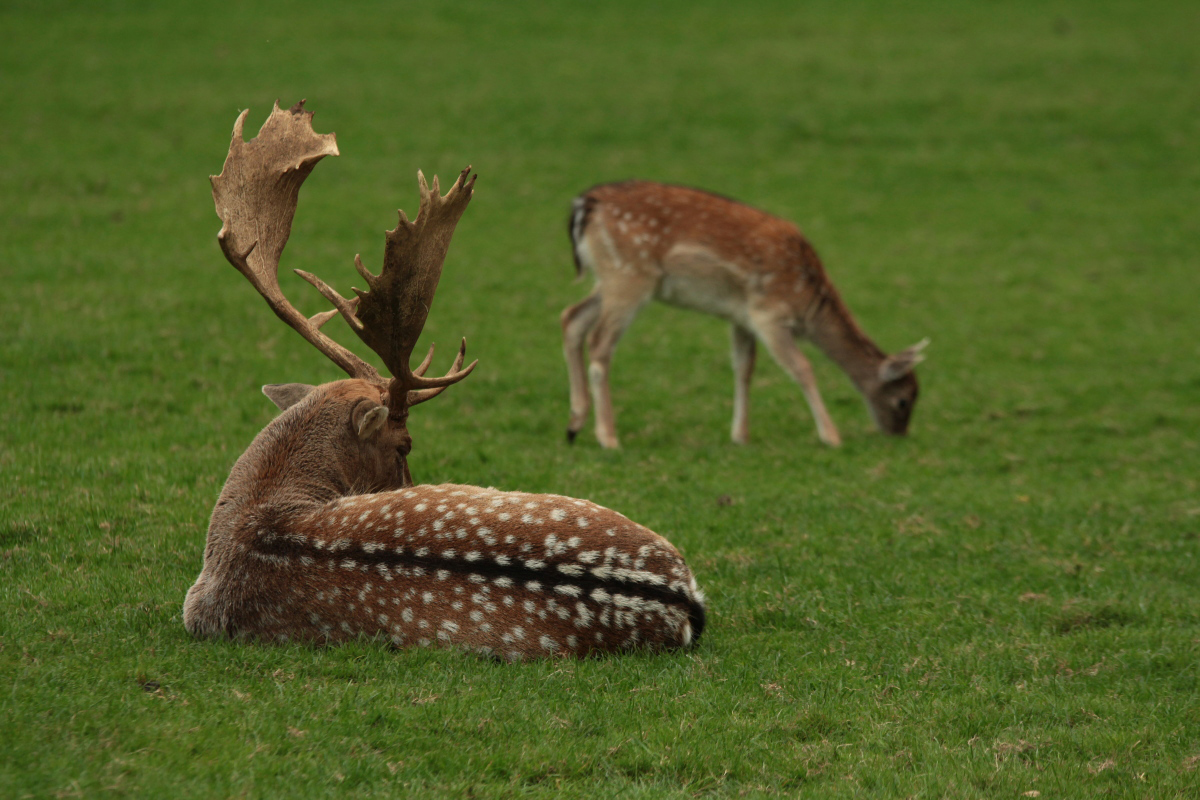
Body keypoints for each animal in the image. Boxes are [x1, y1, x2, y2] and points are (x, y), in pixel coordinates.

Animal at [561, 178, 926, 450]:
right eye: (903, 400)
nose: (898, 434)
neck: (808, 302)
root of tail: (585, 205)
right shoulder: (769, 314)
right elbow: (802, 368)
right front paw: (831, 436)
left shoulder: (741, 317)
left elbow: (744, 368)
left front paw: (740, 436)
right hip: (629, 275)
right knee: (599, 343)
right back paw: (608, 437)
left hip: (610, 278)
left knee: (571, 317)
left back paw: (574, 424)